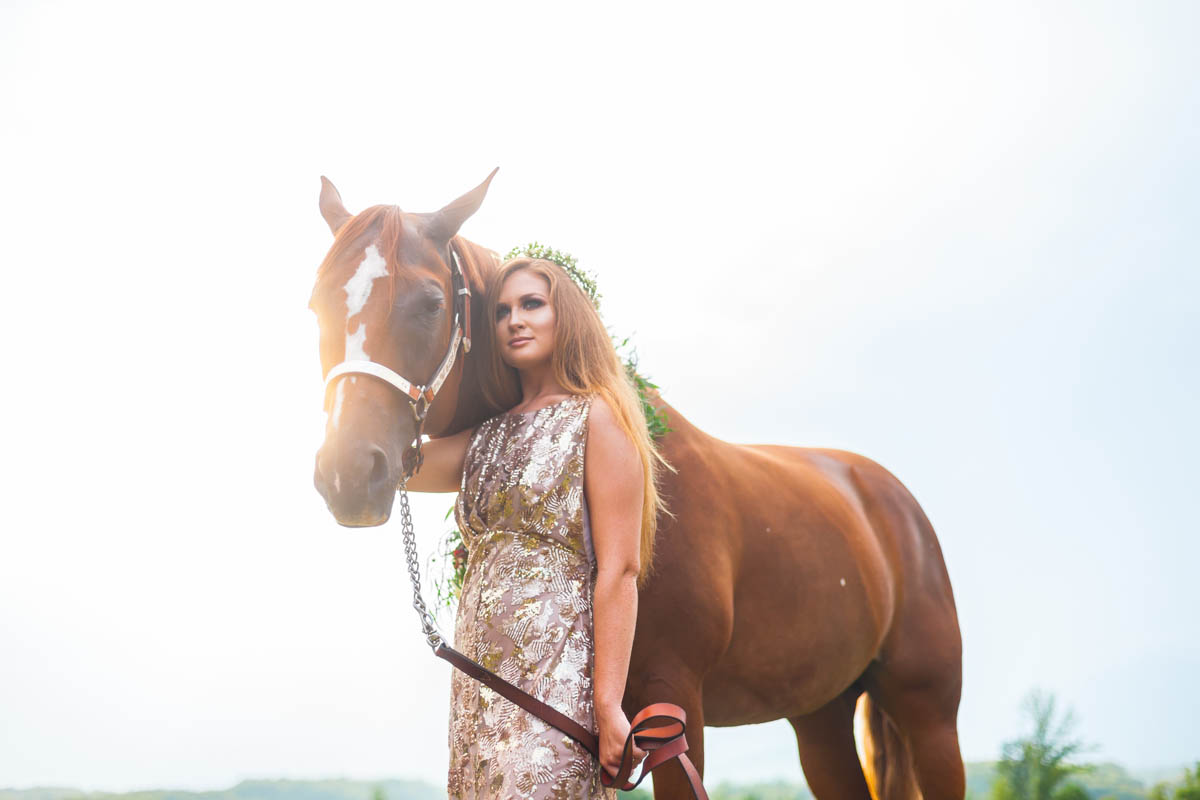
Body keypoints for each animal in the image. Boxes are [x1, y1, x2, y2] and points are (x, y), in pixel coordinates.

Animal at [307, 172, 964, 796]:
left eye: (430, 303)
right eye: (317, 306)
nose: (349, 472)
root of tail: (889, 497)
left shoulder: (668, 713)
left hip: (929, 715)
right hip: (821, 715)